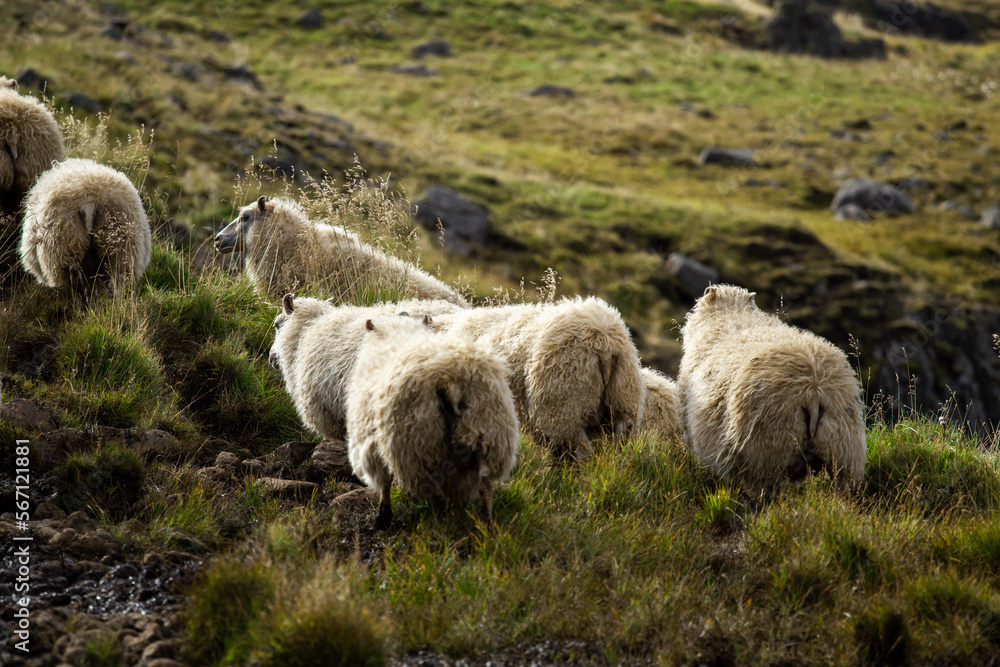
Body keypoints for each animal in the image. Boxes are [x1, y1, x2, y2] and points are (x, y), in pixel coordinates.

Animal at [18, 158, 150, 307]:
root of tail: (89, 202)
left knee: (76, 281)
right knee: (115, 283)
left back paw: (82, 308)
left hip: (64, 246)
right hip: (120, 249)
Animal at [346, 313, 518, 528]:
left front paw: (383, 517)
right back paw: (487, 526)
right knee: (485, 486)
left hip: (420, 448)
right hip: (489, 434)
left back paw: (440, 531)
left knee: (438, 498)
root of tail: (452, 380)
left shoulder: (372, 445)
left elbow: (384, 483)